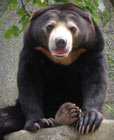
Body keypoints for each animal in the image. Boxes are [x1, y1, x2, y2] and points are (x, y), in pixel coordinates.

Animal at [0, 3, 108, 139]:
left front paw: (89, 120)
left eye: (73, 28)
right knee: (4, 117)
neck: (63, 59)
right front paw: (39, 122)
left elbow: (96, 79)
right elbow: (29, 82)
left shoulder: (92, 49)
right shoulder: (32, 50)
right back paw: (64, 114)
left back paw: (67, 114)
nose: (61, 42)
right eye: (50, 26)